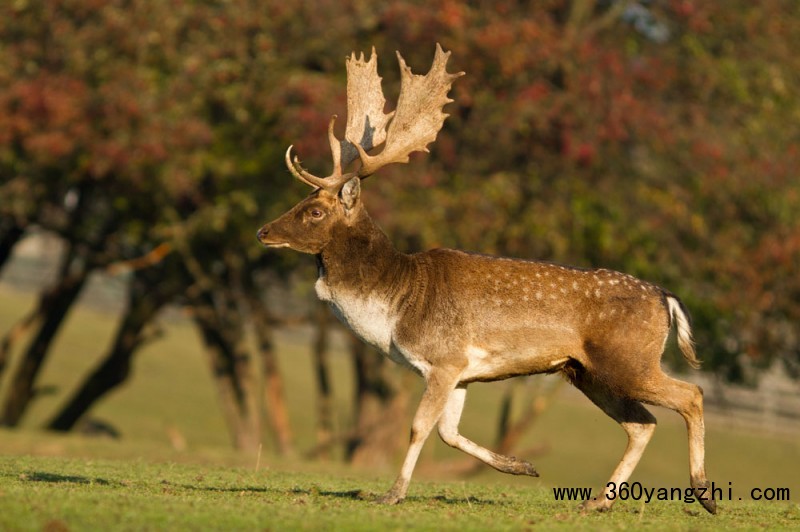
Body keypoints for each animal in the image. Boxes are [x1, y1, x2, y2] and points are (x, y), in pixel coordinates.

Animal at [258, 46, 720, 516]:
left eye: (315, 212)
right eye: (301, 201)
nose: (263, 232)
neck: (396, 304)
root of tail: (667, 298)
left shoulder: (445, 358)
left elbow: (419, 426)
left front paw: (392, 493)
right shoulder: (461, 373)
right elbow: (448, 433)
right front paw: (522, 466)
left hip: (629, 361)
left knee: (691, 394)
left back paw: (703, 493)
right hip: (586, 372)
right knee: (642, 423)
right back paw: (597, 502)